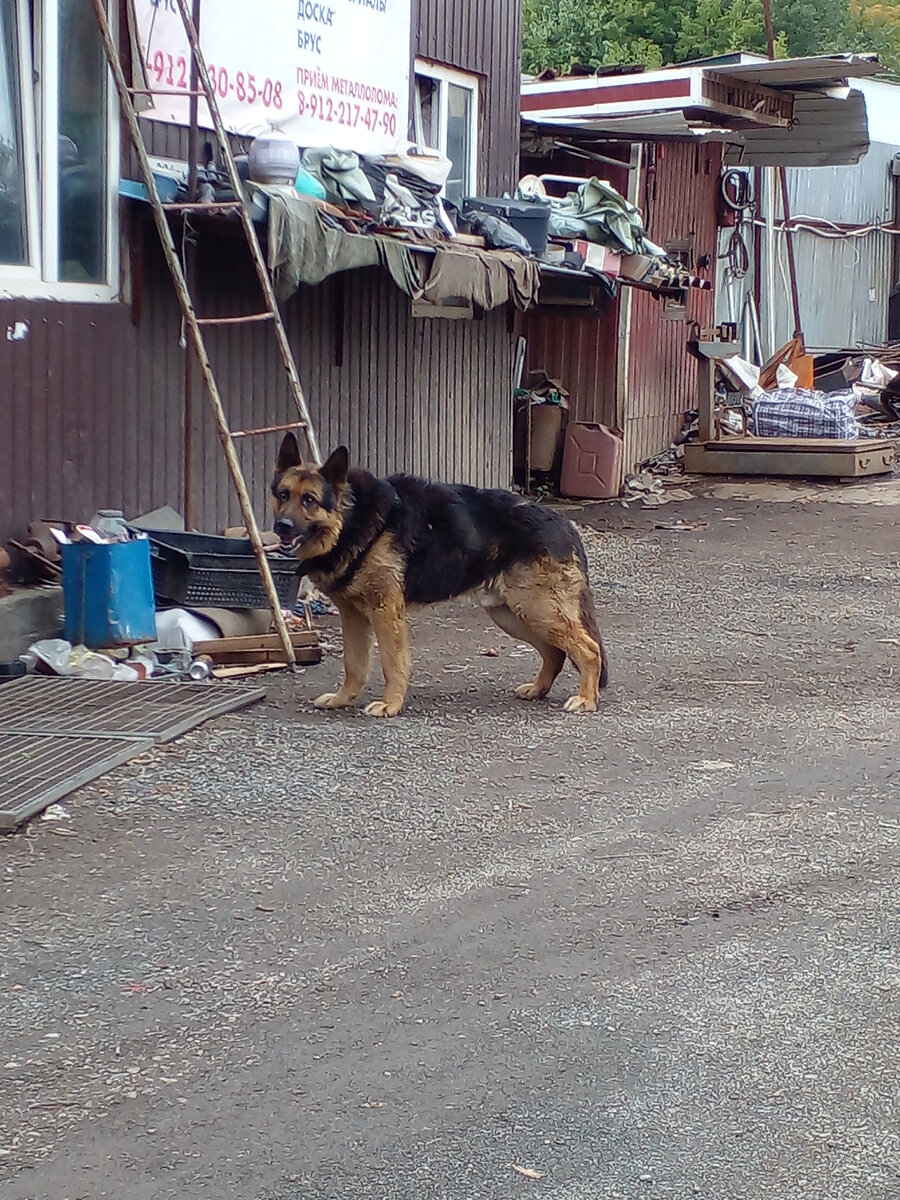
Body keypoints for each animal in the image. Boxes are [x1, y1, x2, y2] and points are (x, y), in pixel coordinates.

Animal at [274, 432, 609, 710]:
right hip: (514, 615)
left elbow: (392, 663)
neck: (352, 516)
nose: (281, 527)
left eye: (309, 500)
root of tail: (563, 522)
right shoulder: (353, 616)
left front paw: (390, 706)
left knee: (589, 650)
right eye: (282, 495)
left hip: (536, 611)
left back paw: (585, 699)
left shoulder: (385, 611)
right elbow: (354, 665)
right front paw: (343, 699)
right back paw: (539, 689)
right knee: (556, 652)